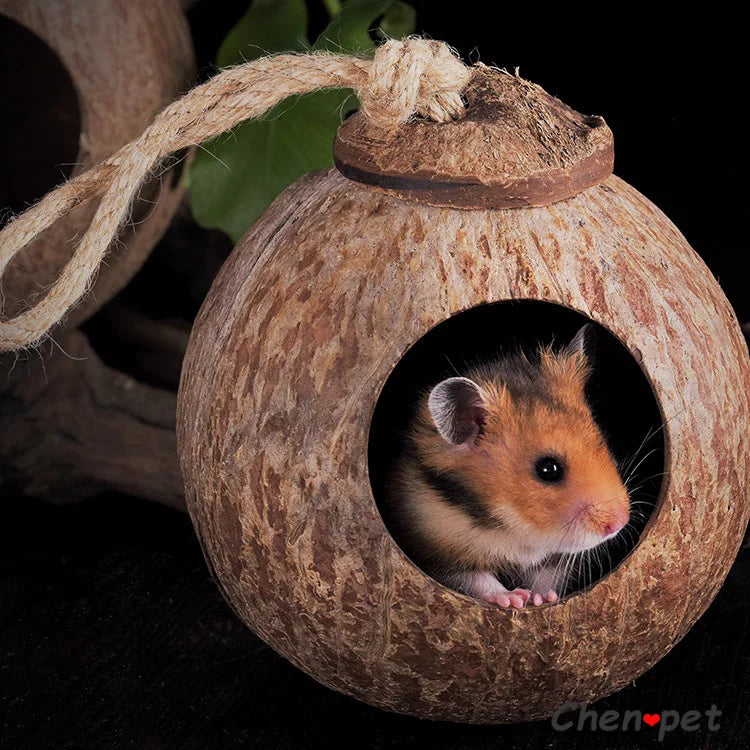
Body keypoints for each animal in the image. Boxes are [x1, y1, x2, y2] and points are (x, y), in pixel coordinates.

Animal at [390, 326, 632, 608]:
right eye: (548, 469)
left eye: (601, 440)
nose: (620, 522)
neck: (511, 528)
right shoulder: (437, 552)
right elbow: (476, 579)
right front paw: (515, 599)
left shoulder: (551, 560)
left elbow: (545, 576)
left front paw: (540, 599)